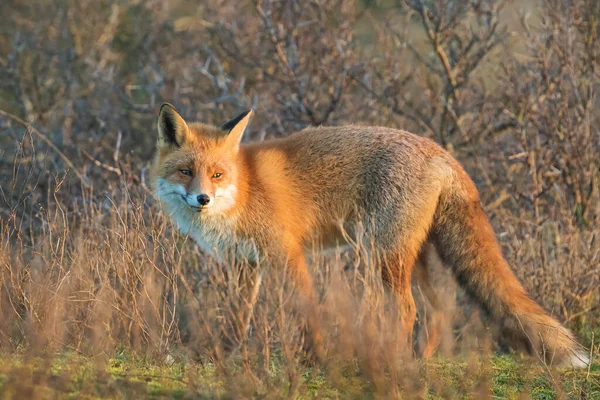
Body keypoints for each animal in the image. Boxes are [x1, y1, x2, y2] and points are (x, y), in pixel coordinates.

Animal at [151, 104, 592, 368]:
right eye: (186, 172)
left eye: (217, 174)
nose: (202, 199)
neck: (244, 189)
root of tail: (441, 152)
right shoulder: (244, 265)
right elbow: (237, 318)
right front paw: (222, 356)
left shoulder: (289, 255)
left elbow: (307, 311)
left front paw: (316, 358)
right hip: (412, 257)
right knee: (439, 309)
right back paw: (420, 361)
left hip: (381, 254)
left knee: (407, 310)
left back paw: (391, 360)